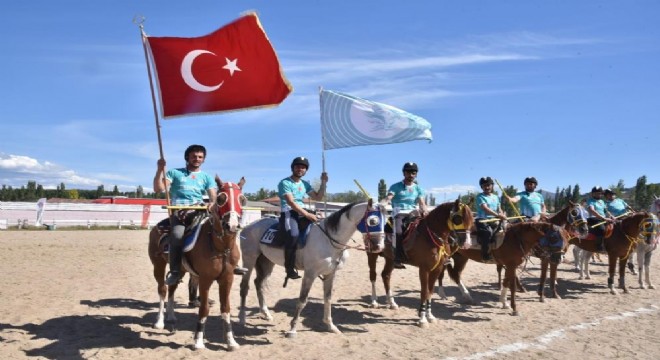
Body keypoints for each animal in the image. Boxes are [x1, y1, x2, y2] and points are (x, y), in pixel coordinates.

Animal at [148, 176, 246, 350]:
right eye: (220, 198)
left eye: (242, 199)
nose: (233, 225)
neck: (221, 247)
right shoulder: (205, 279)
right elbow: (204, 309)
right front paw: (198, 341)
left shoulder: (227, 278)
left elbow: (225, 308)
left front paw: (230, 341)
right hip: (158, 266)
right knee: (163, 290)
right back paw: (159, 322)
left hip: (179, 269)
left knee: (172, 287)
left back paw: (171, 316)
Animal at [238, 200, 386, 338]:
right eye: (373, 221)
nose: (379, 247)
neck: (327, 240)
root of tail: (249, 226)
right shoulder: (310, 275)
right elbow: (302, 301)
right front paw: (292, 329)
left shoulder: (330, 274)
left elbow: (328, 299)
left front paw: (330, 326)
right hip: (249, 260)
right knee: (244, 287)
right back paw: (242, 319)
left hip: (267, 262)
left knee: (259, 284)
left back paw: (266, 314)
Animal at [392, 198, 474, 328]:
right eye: (457, 219)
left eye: (472, 220)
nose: (467, 244)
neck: (431, 236)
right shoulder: (424, 269)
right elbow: (424, 292)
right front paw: (422, 319)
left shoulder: (437, 269)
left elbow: (430, 292)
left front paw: (429, 316)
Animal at [438, 222, 568, 316]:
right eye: (554, 238)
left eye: (566, 238)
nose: (559, 258)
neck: (517, 240)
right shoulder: (511, 265)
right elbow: (513, 286)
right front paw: (515, 309)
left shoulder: (509, 266)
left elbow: (506, 283)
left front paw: (504, 303)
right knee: (444, 274)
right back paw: (445, 294)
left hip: (460, 257)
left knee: (456, 275)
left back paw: (466, 296)